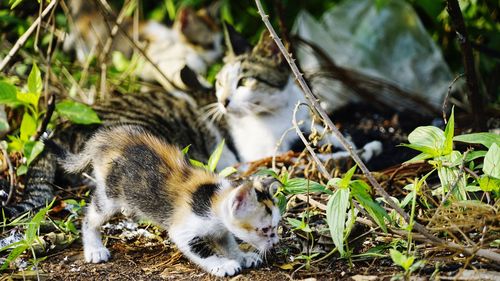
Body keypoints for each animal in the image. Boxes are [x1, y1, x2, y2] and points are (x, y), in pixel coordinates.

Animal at [42, 126, 280, 276]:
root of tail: (105, 139)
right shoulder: (184, 229)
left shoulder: (220, 230)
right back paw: (94, 249)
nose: (276, 242)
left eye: (276, 226)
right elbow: (200, 250)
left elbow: (228, 243)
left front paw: (241, 256)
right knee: (90, 217)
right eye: (265, 229)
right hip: (110, 195)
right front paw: (223, 265)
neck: (212, 199)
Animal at [212, 27, 382, 163]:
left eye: (245, 81)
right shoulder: (265, 154)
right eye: (220, 82)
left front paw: (354, 145)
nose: (223, 101)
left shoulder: (303, 127)